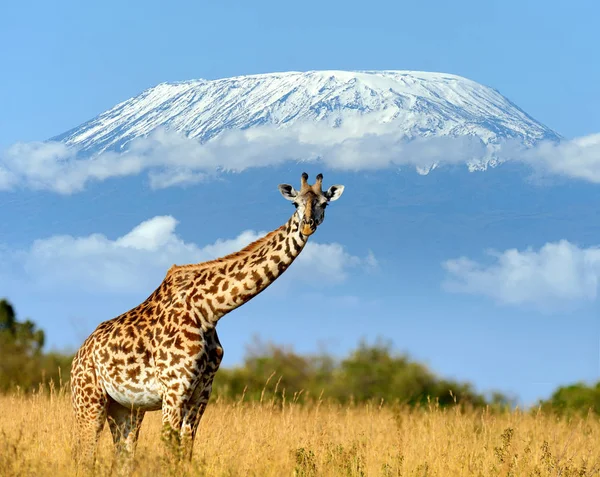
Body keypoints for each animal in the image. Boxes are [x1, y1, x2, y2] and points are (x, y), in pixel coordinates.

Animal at [69, 172, 344, 468]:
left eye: (324, 204)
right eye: (295, 203)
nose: (307, 226)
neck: (209, 310)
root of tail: (78, 355)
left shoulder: (202, 391)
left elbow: (186, 449)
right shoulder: (174, 389)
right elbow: (170, 449)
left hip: (126, 408)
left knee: (122, 456)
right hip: (89, 401)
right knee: (84, 453)